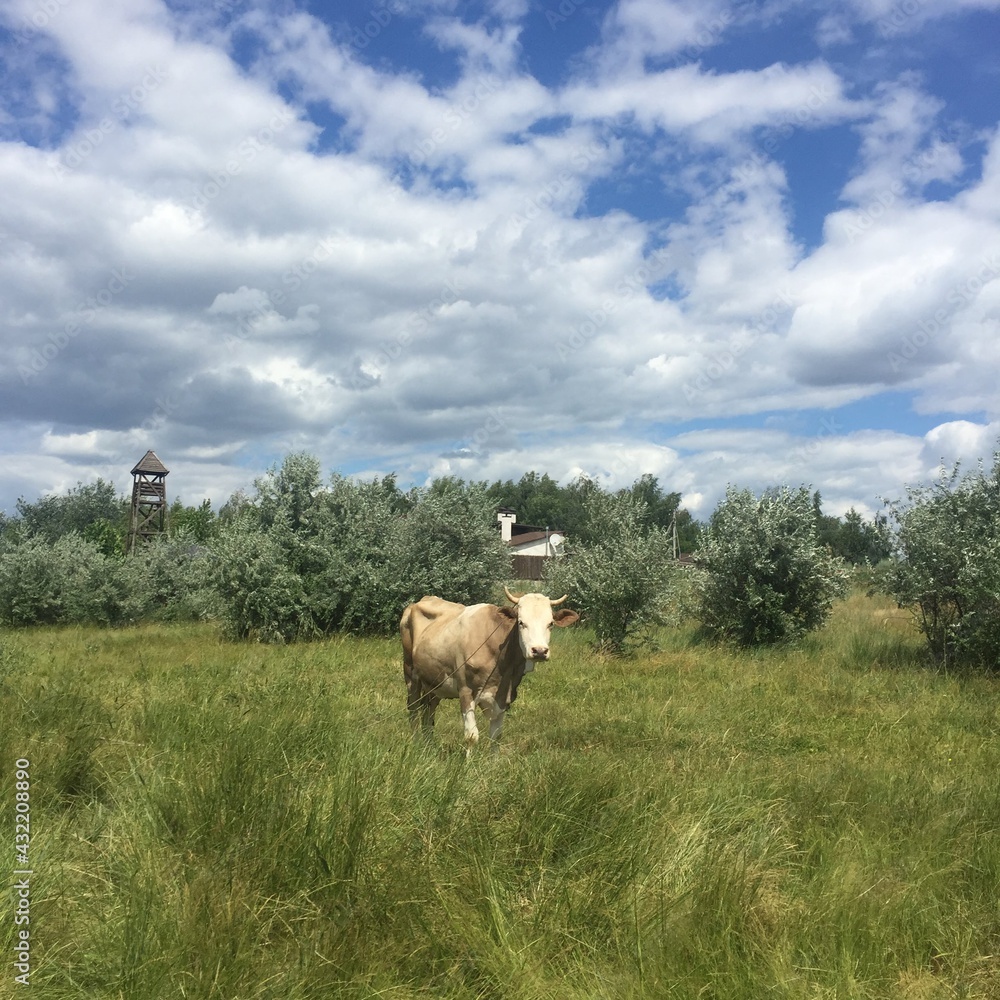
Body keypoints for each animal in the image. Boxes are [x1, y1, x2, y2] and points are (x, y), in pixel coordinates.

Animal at [400, 586, 580, 749]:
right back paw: (415, 743)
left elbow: (496, 736)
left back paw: (428, 745)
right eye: (521, 622)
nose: (540, 651)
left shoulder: (504, 696)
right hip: (411, 674)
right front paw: (468, 764)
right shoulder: (466, 691)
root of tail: (421, 600)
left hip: (434, 683)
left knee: (428, 711)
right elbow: (471, 737)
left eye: (550, 624)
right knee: (413, 709)